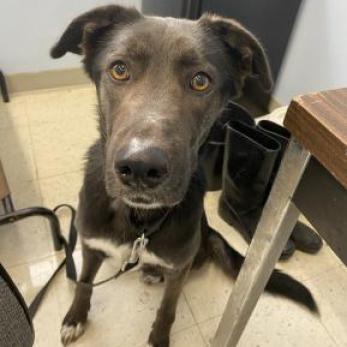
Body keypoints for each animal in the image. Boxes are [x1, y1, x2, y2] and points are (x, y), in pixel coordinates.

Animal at [51, 5, 318, 347]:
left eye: (200, 81)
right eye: (119, 70)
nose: (141, 167)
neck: (139, 219)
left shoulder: (179, 267)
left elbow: (168, 307)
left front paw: (159, 336)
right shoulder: (90, 245)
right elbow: (84, 283)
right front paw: (76, 317)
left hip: (194, 253)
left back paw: (153, 271)